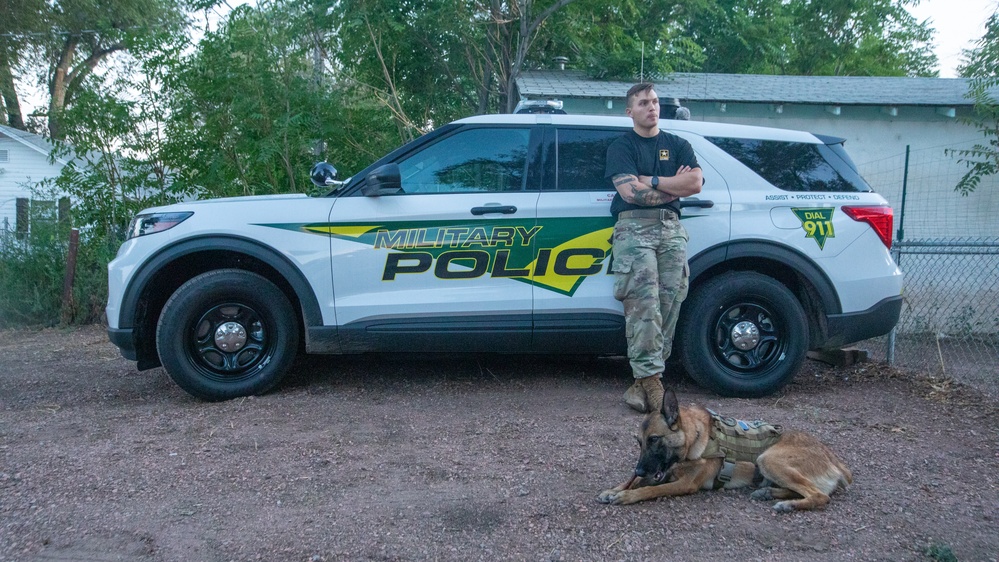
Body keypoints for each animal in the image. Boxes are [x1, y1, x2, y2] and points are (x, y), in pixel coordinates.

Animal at [596, 388, 856, 510]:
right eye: (639, 443)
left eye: (654, 439)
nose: (639, 470)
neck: (695, 439)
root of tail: (833, 457)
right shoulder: (661, 472)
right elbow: (634, 482)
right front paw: (614, 489)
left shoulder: (685, 484)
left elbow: (649, 489)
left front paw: (627, 495)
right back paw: (769, 493)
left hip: (769, 459)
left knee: (819, 495)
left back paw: (788, 505)